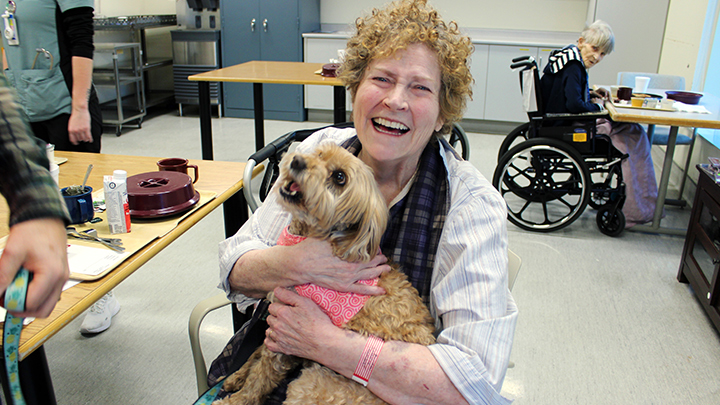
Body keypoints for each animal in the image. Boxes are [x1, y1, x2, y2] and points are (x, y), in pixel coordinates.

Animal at [214, 140, 436, 402]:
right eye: (319, 154)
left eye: (340, 177)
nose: (297, 160)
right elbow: (258, 351)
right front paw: (237, 375)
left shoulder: (287, 333)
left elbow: (261, 375)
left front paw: (237, 398)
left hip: (308, 385)